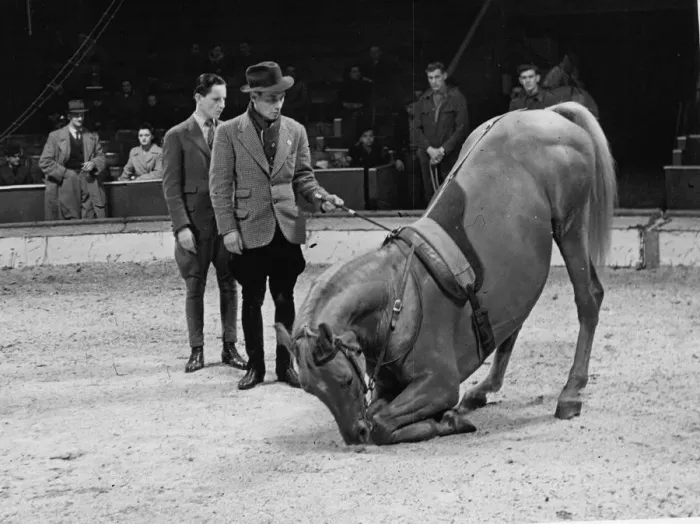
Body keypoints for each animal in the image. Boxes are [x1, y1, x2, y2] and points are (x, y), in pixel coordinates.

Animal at [276, 101, 617, 446]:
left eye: (345, 380)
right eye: (313, 391)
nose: (354, 436)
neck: (397, 300)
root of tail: (548, 112)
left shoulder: (439, 383)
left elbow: (381, 422)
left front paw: (446, 421)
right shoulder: (389, 386)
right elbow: (378, 414)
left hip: (571, 225)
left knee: (588, 297)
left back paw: (571, 392)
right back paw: (483, 390)